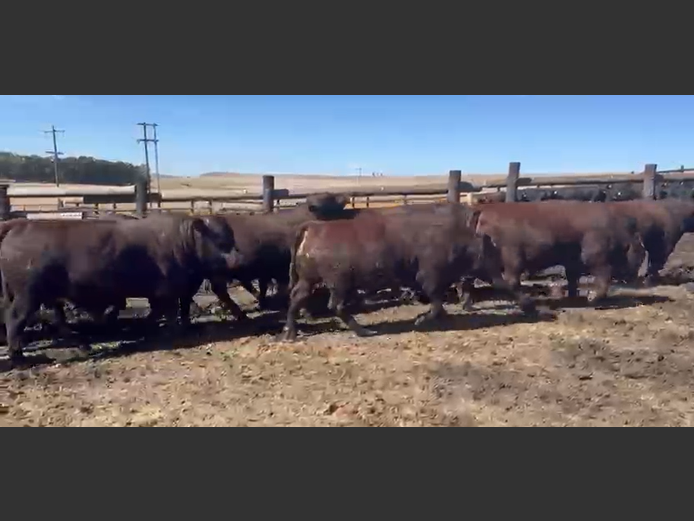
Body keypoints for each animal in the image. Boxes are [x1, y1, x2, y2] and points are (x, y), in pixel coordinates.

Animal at [0, 214, 243, 364]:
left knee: (55, 319)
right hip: (28, 295)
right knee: (15, 319)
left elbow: (161, 312)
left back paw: (82, 344)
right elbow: (169, 312)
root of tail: (19, 226)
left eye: (231, 237)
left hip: (44, 295)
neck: (183, 240)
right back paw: (18, 355)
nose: (237, 260)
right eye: (220, 241)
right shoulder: (167, 291)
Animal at [277, 203, 537, 342]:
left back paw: (290, 332)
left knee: (297, 299)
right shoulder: (429, 277)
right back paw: (365, 330)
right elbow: (436, 303)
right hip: (338, 282)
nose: (498, 266)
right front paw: (421, 319)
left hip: (310, 280)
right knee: (335, 305)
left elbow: (439, 303)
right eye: (490, 250)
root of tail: (313, 227)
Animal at [458, 200, 646, 310]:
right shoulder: (596, 258)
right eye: (639, 253)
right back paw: (527, 305)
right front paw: (592, 299)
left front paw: (573, 298)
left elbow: (572, 277)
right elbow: (603, 280)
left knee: (468, 281)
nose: (635, 277)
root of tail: (483, 210)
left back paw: (467, 305)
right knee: (510, 282)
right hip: (512, 258)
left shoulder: (573, 261)